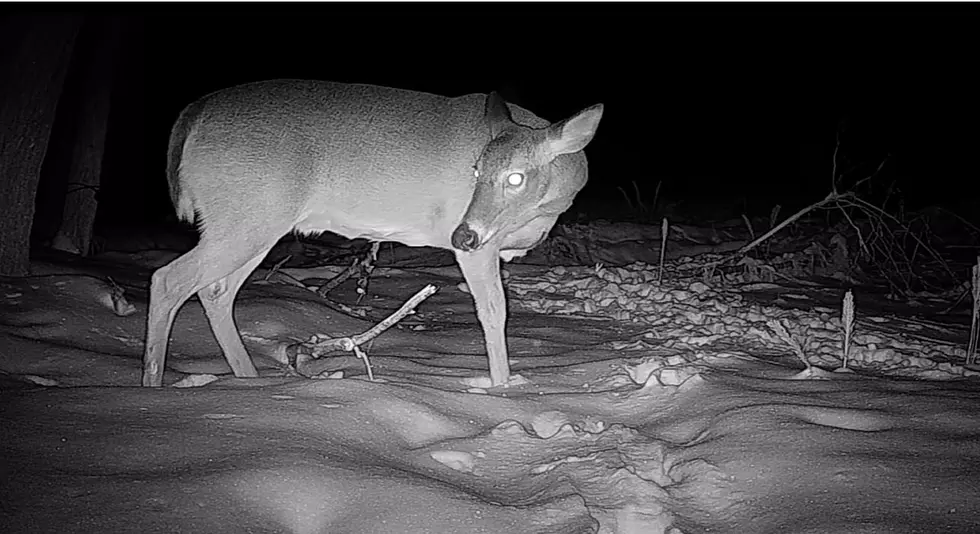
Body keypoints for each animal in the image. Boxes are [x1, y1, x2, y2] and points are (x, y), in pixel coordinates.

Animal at [144, 79, 604, 388]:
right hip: (247, 214)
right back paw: (153, 386)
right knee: (169, 279)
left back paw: (249, 379)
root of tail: (193, 114)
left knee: (215, 290)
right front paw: (503, 388)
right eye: (475, 171)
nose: (460, 235)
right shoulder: (480, 249)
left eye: (515, 177)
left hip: (252, 222)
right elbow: (494, 313)